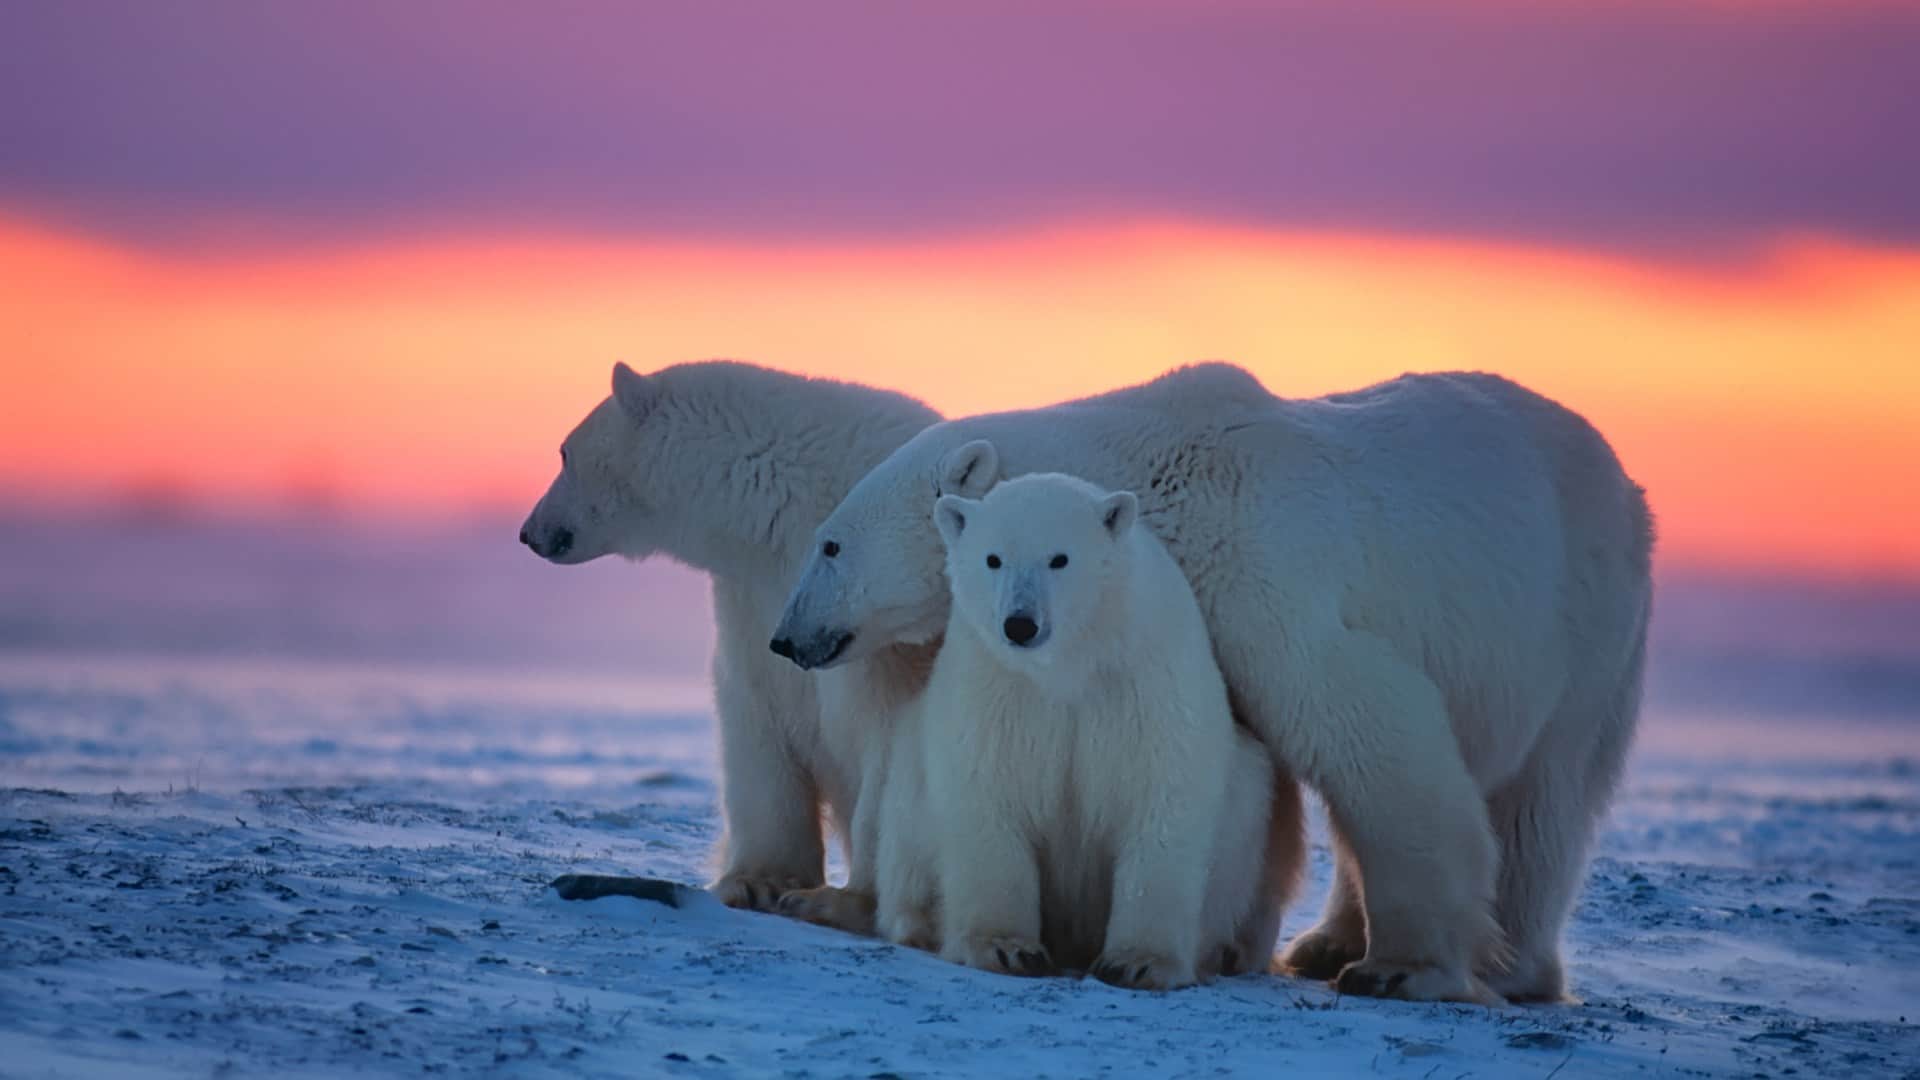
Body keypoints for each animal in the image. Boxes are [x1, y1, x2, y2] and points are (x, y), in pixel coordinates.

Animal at [520, 359, 941, 912]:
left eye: (564, 452)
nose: (528, 532)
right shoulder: (754, 594)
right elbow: (756, 712)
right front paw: (760, 881)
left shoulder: (883, 609)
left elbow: (892, 734)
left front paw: (842, 900)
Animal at [867, 473, 1293, 990]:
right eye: (993, 558)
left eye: (1059, 558)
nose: (1020, 625)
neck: (1071, 666)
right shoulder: (996, 687)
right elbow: (988, 792)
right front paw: (1007, 948)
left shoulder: (1147, 681)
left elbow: (1163, 797)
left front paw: (1137, 962)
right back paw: (921, 922)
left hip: (1248, 807)